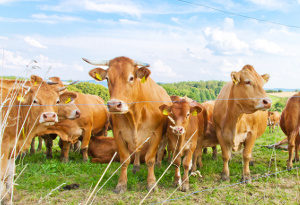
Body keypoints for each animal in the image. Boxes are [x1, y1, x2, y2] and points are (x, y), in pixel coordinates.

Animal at [83, 55, 171, 192]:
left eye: (131, 77)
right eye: (107, 78)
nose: (114, 105)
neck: (135, 115)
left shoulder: (156, 134)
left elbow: (150, 159)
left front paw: (152, 183)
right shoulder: (118, 134)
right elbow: (124, 160)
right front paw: (121, 184)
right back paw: (136, 167)